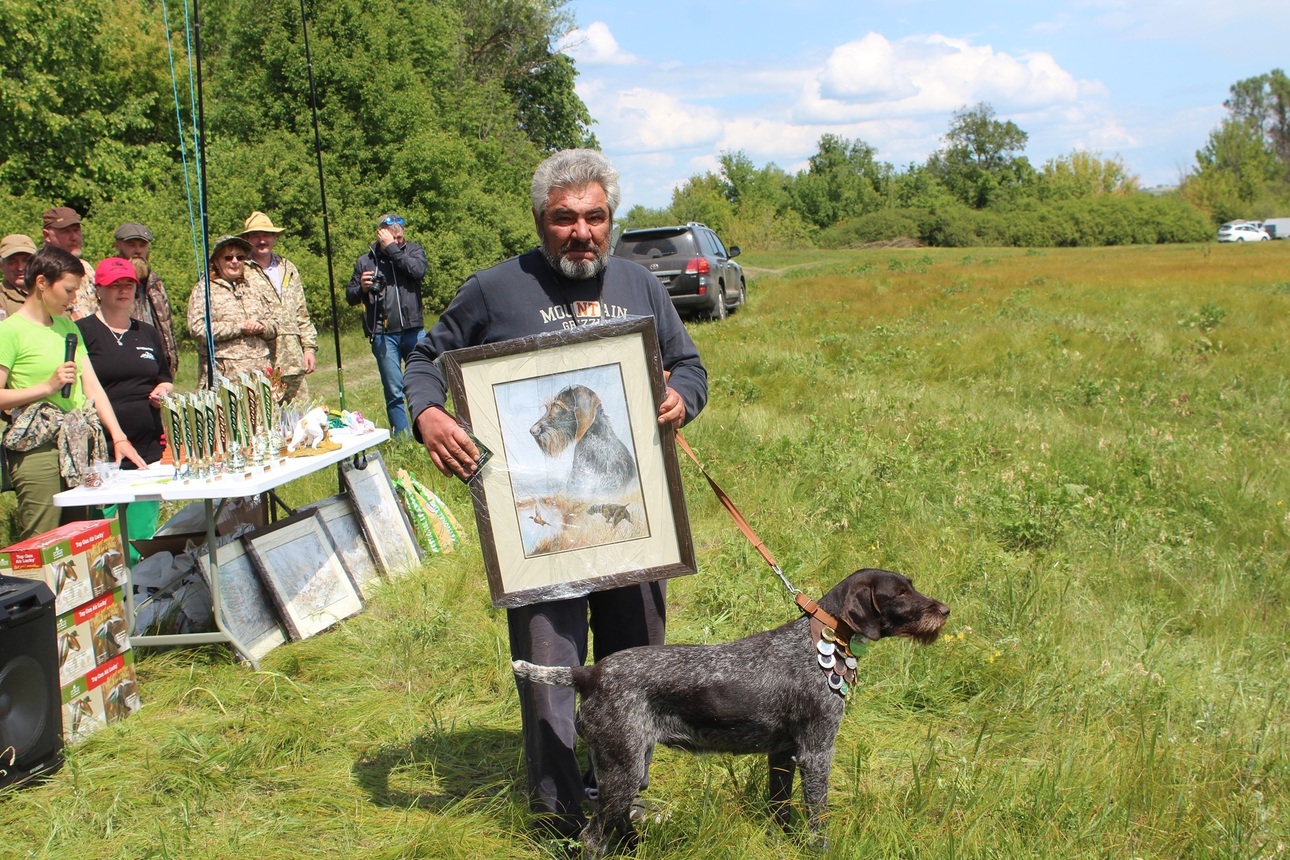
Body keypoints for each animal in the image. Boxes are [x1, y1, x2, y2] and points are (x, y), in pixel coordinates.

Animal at [513, 567, 949, 856]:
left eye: (911, 587)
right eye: (901, 593)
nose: (944, 610)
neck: (818, 643)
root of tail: (589, 672)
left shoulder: (783, 753)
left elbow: (780, 805)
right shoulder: (816, 752)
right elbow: (817, 814)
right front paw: (820, 849)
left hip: (627, 766)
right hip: (623, 767)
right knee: (591, 835)